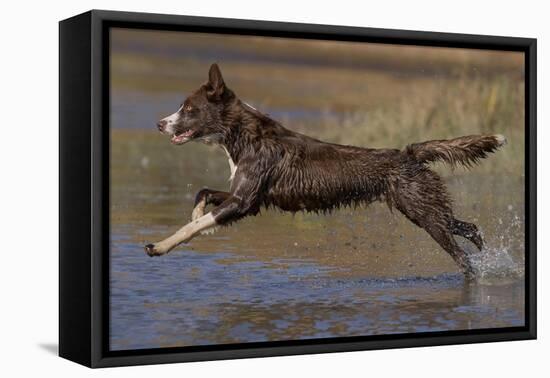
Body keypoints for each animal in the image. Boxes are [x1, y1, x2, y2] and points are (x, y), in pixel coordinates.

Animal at [144, 62, 506, 278]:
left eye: (188, 109)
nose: (159, 124)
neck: (245, 134)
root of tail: (410, 154)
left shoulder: (243, 202)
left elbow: (192, 225)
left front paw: (161, 246)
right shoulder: (247, 198)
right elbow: (202, 194)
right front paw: (195, 217)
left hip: (424, 215)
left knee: (463, 258)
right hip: (426, 210)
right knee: (471, 228)